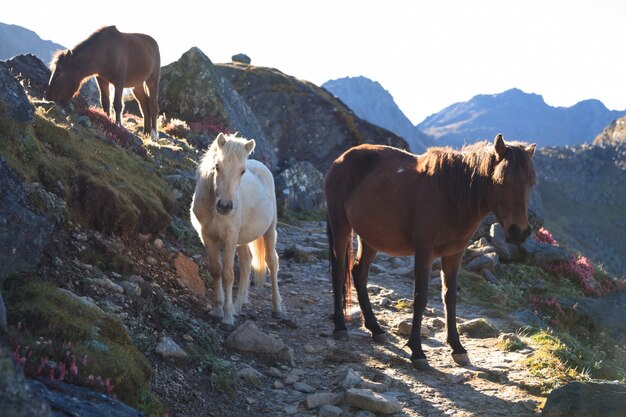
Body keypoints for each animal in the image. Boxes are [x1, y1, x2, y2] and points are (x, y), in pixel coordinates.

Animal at [188, 133, 280, 328]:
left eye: (242, 171)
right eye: (217, 166)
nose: (225, 206)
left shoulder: (230, 238)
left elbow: (228, 274)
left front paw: (228, 317)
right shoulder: (208, 237)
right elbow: (216, 270)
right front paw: (218, 310)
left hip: (269, 231)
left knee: (271, 262)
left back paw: (277, 308)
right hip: (242, 239)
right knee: (246, 263)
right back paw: (238, 306)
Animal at [324, 133, 532, 368]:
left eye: (530, 183)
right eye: (502, 180)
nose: (519, 231)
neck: (451, 196)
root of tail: (339, 160)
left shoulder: (454, 254)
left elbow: (450, 297)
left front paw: (457, 348)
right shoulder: (424, 251)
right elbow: (420, 297)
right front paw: (417, 351)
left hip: (370, 237)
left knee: (359, 273)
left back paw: (375, 329)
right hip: (341, 226)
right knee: (339, 271)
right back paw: (340, 327)